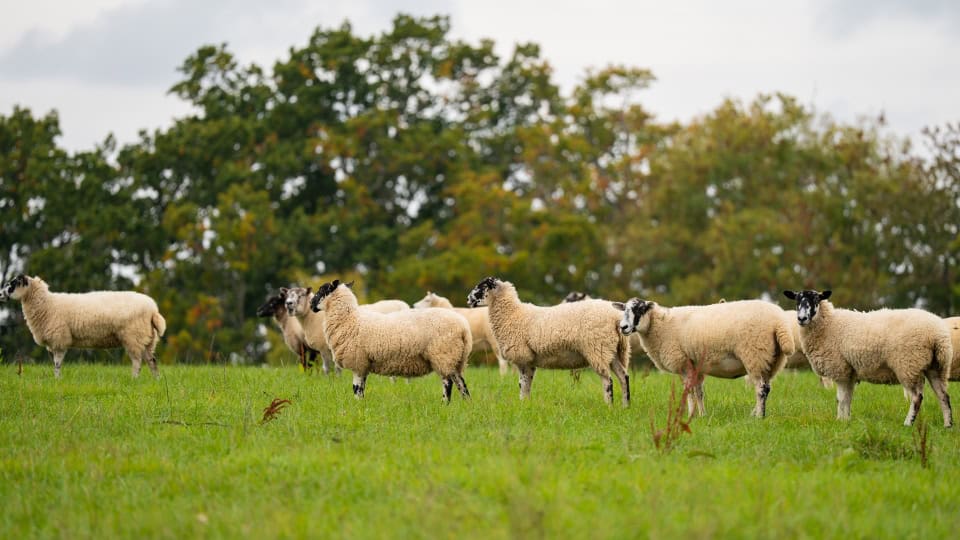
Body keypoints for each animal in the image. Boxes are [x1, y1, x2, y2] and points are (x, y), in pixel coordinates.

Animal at [0, 274, 166, 378]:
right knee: (152, 361)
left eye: (13, 283)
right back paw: (156, 380)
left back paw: (134, 379)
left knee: (137, 362)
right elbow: (56, 363)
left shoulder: (60, 339)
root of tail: (153, 309)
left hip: (133, 336)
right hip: (148, 338)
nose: (1, 294)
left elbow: (57, 363)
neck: (47, 304)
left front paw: (57, 379)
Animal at [309, 280, 472, 402]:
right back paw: (466, 403)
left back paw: (445, 403)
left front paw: (357, 405)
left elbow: (356, 389)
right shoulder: (364, 364)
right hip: (456, 358)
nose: (310, 304)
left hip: (443, 355)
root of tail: (464, 328)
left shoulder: (358, 363)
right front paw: (361, 404)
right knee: (461, 382)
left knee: (448, 383)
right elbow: (362, 389)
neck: (350, 319)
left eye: (322, 290)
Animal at [467, 277, 631, 405]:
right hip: (613, 350)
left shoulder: (522, 358)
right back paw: (625, 406)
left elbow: (522, 384)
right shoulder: (530, 361)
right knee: (624, 377)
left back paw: (609, 406)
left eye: (481, 287)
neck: (513, 314)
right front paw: (526, 405)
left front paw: (522, 404)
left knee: (608, 381)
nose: (468, 299)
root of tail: (615, 317)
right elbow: (527, 385)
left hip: (598, 348)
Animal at [615, 297, 794, 418]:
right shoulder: (696, 366)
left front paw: (689, 415)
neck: (660, 326)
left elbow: (688, 391)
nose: (623, 327)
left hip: (755, 355)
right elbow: (699, 392)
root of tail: (779, 322)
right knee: (767, 388)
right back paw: (757, 413)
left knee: (761, 389)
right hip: (772, 360)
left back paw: (758, 417)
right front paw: (702, 415)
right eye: (624, 310)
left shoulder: (683, 363)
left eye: (640, 310)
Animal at [783, 289, 953, 427]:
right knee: (943, 395)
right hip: (937, 366)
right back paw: (948, 424)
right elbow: (848, 398)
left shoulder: (840, 369)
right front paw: (846, 420)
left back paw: (907, 423)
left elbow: (841, 399)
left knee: (917, 397)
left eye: (816, 299)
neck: (828, 324)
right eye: (797, 300)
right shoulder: (849, 372)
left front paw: (840, 420)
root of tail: (938, 334)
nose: (802, 318)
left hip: (908, 364)